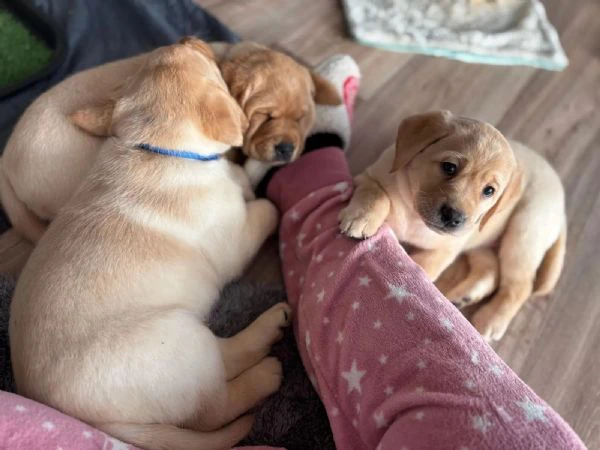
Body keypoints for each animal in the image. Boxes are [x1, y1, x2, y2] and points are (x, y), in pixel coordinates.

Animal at [8, 37, 290, 450]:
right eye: (211, 68)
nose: (191, 39)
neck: (155, 148)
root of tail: (95, 422)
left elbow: (238, 174)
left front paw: (247, 168)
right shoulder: (235, 238)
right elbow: (263, 206)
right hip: (180, 341)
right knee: (214, 405)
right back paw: (266, 367)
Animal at [340, 110, 564, 340]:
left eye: (489, 190)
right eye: (449, 167)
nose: (453, 217)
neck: (414, 213)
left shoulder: (447, 249)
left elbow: (422, 266)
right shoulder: (368, 176)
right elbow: (376, 194)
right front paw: (361, 218)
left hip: (524, 230)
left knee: (520, 286)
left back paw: (491, 320)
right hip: (483, 240)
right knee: (491, 268)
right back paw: (463, 296)